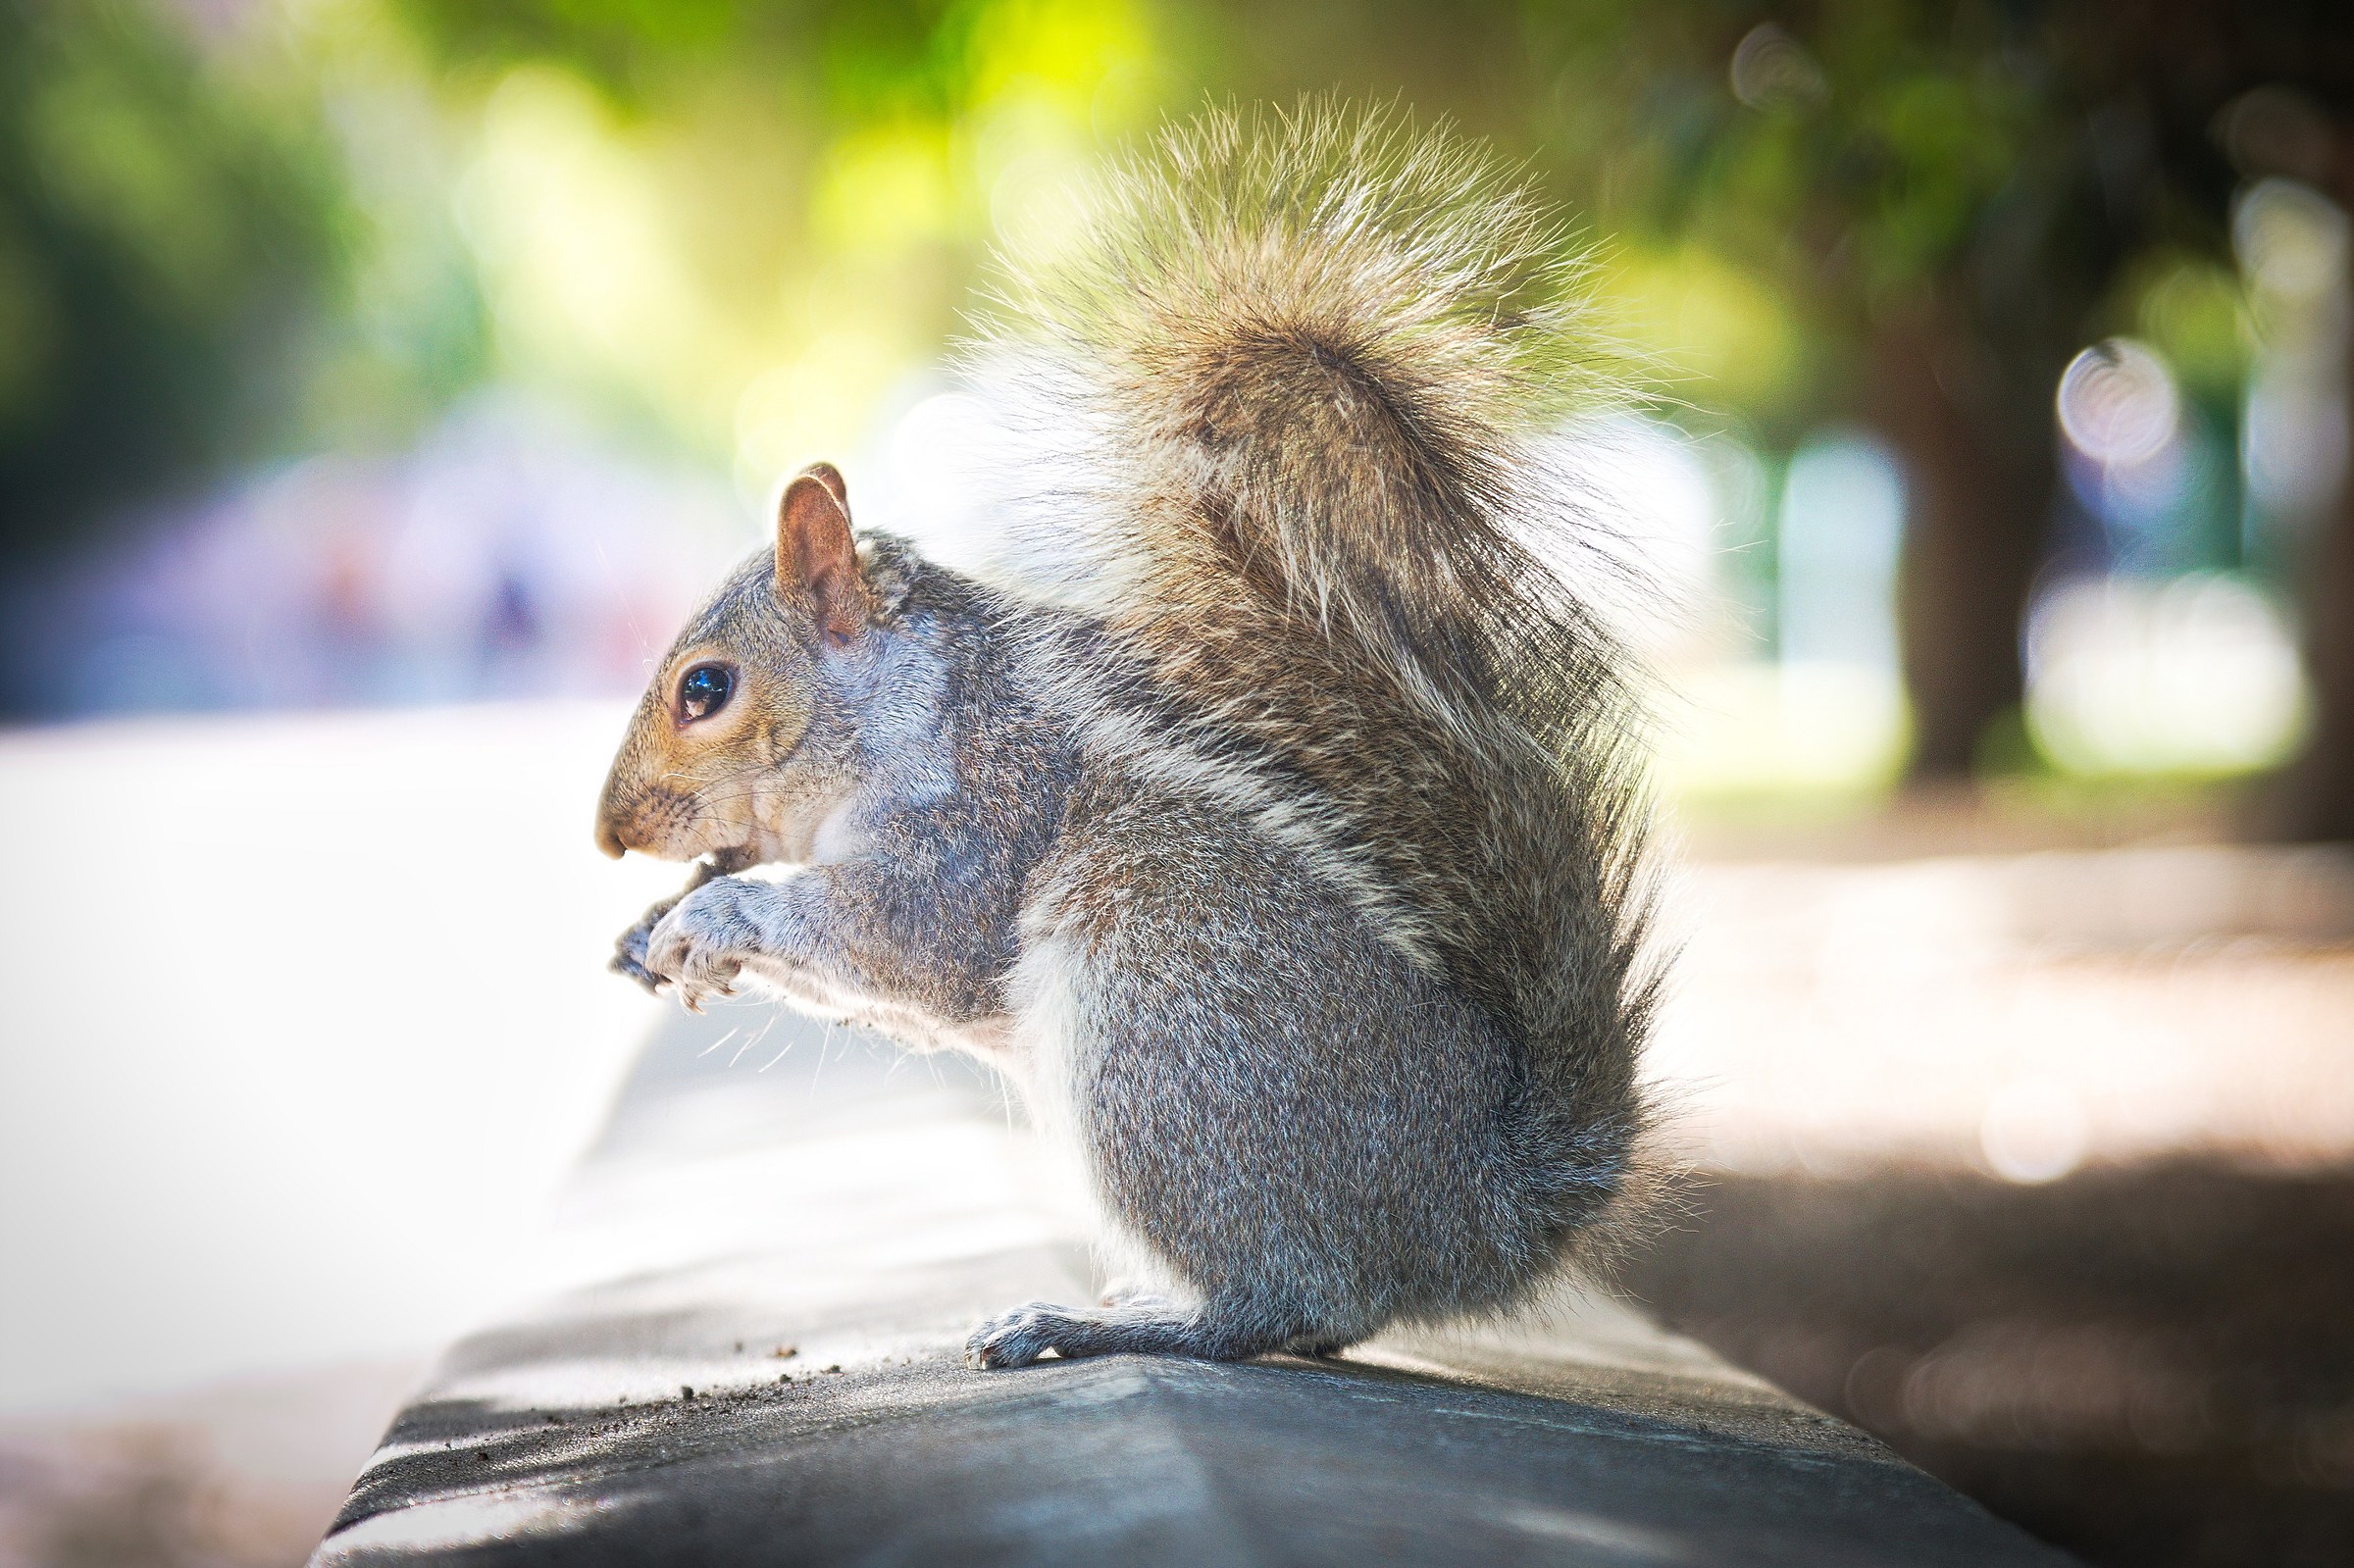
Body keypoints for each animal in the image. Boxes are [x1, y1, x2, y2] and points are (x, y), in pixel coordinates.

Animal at [594, 105, 1658, 1369]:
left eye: (705, 689)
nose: (611, 834)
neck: (918, 706)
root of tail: (1481, 1208)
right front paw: (648, 930)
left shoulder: (983, 816)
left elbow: (899, 940)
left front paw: (716, 913)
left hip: (1165, 1013)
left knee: (1290, 1303)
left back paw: (1104, 1323)